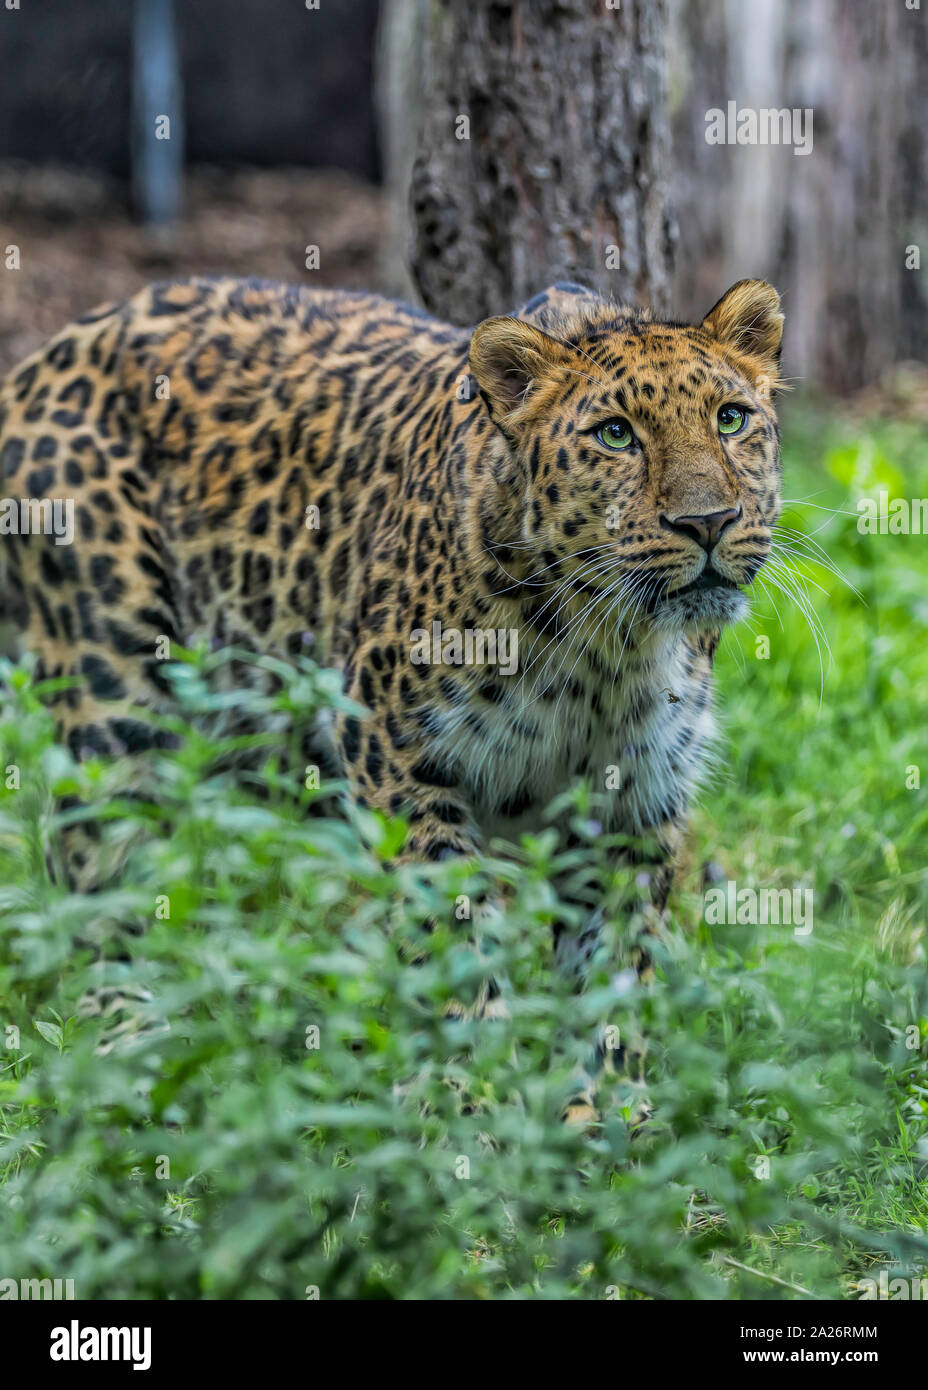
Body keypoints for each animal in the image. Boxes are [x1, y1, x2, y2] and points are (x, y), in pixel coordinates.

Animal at [0, 274, 785, 1105]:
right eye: (615, 435)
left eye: (731, 419)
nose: (709, 521)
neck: (608, 648)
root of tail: (54, 348)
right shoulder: (397, 753)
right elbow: (453, 935)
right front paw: (474, 1101)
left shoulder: (637, 797)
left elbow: (615, 965)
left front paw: (608, 1106)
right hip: (114, 698)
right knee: (98, 882)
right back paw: (127, 1050)